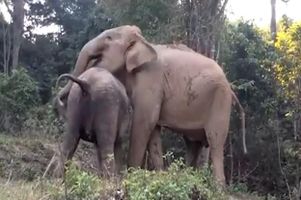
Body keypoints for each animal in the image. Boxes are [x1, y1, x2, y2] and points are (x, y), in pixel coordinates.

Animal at [55, 25, 245, 186]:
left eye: (108, 38)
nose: (60, 98)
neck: (144, 42)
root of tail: (230, 87)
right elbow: (153, 128)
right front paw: (159, 178)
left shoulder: (151, 80)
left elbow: (143, 122)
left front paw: (132, 178)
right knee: (193, 143)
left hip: (220, 101)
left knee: (215, 141)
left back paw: (218, 189)